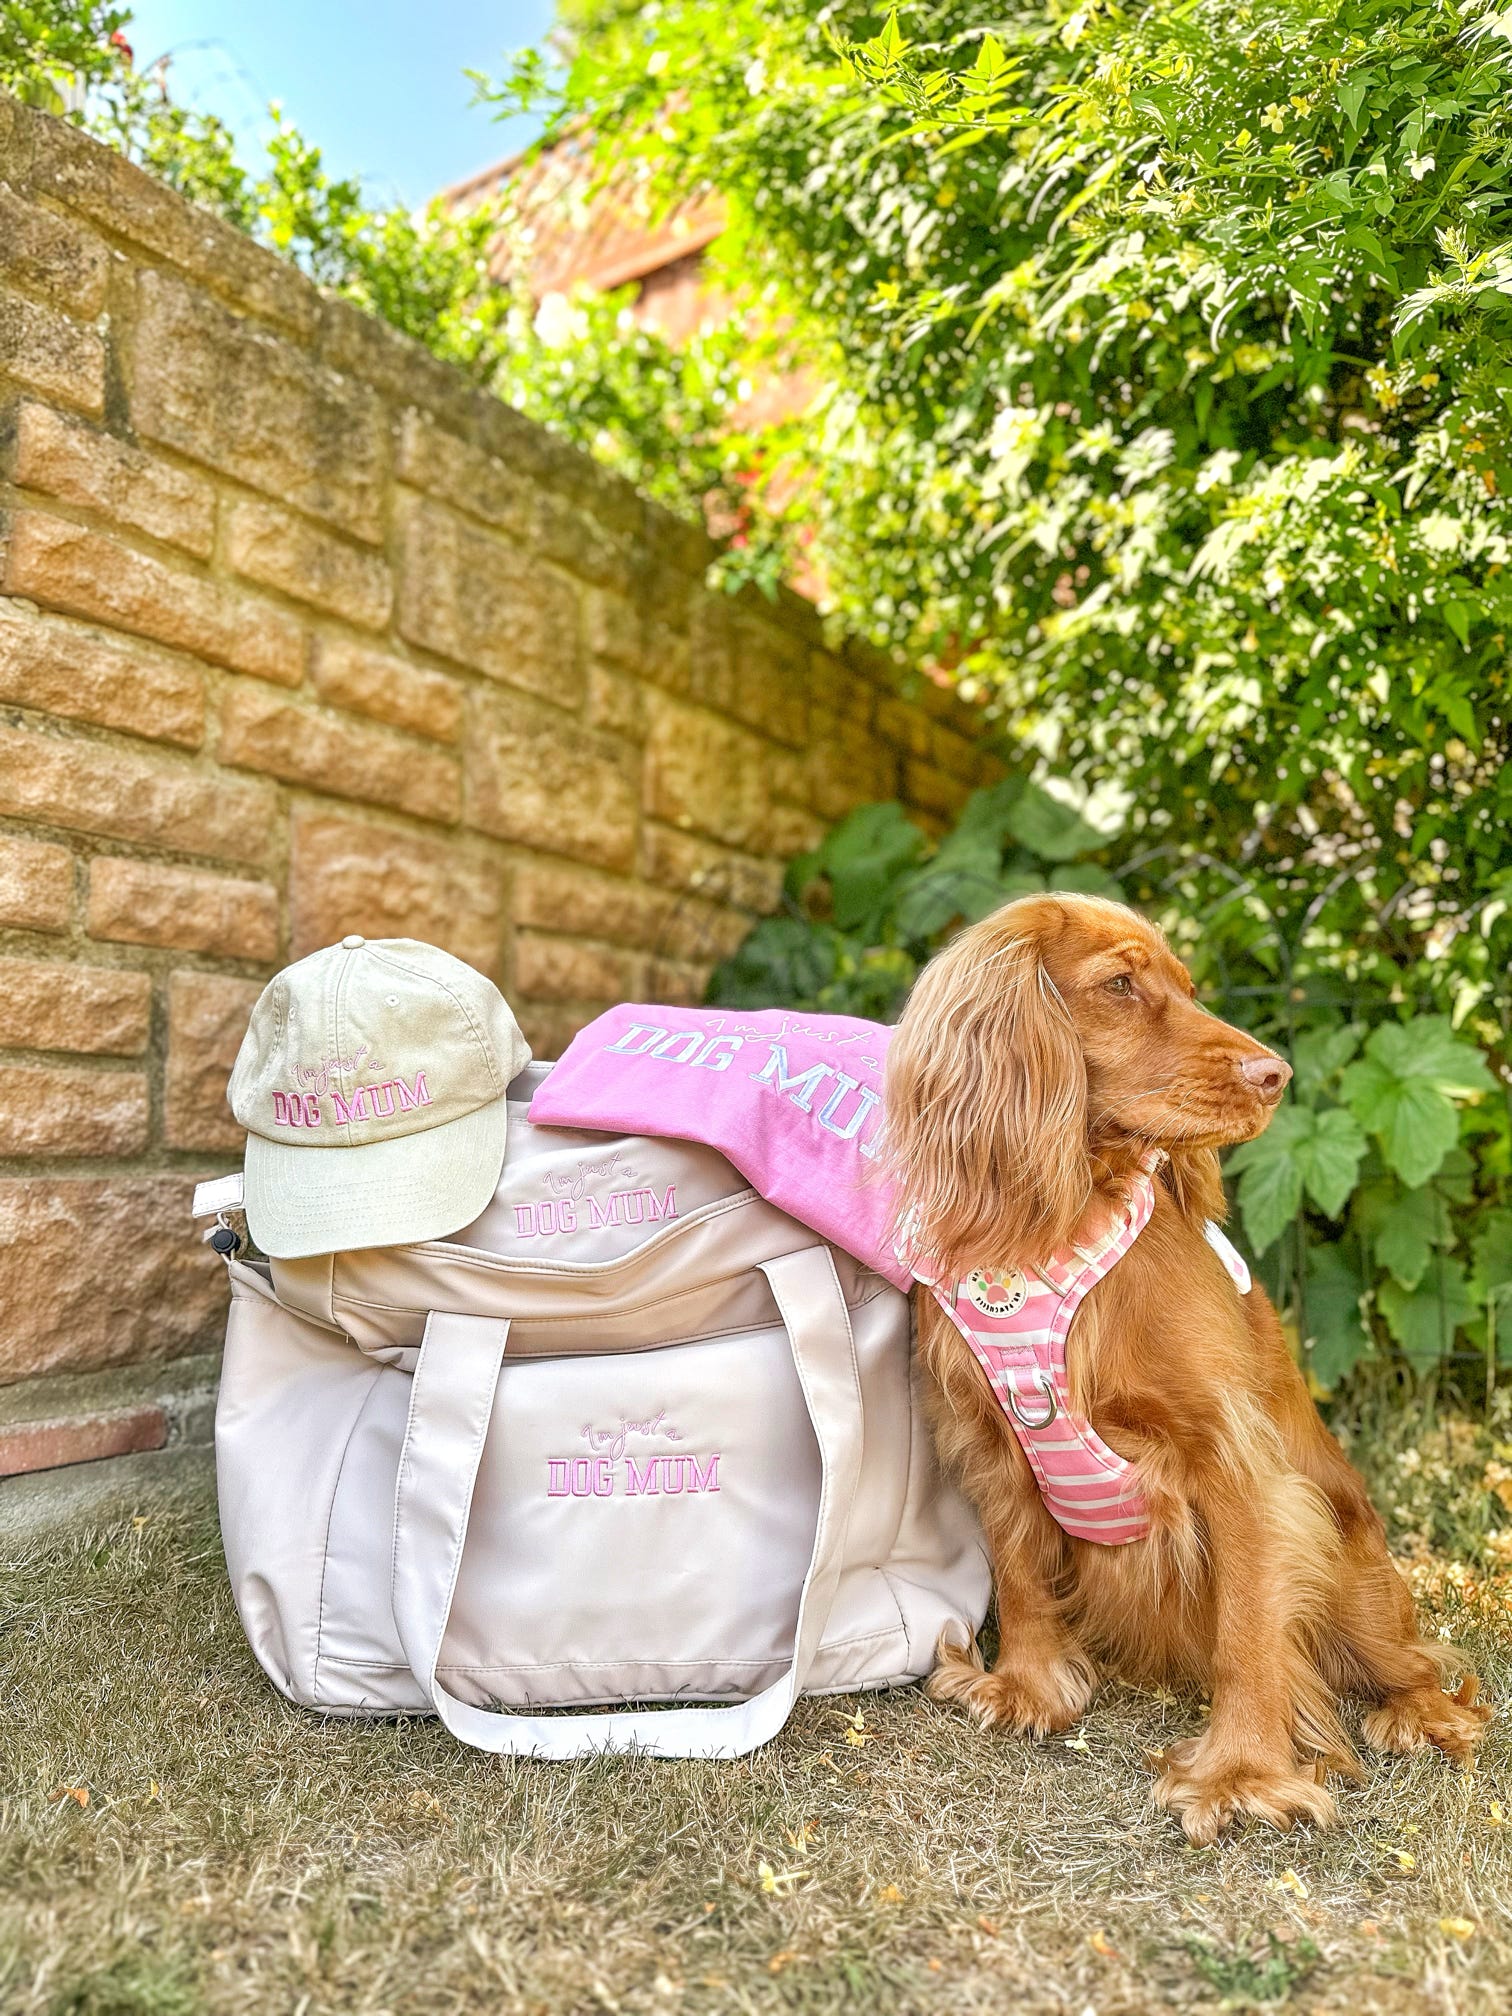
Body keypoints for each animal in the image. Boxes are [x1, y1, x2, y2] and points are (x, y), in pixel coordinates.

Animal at [883, 893, 1491, 1841]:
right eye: (1121, 985)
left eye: (1190, 987)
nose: (1275, 1074)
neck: (1059, 1224)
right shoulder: (987, 1437)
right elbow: (1019, 1572)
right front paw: (1026, 1687)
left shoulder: (1233, 1457)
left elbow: (1248, 1628)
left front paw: (1240, 1773)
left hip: (1354, 1568)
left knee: (1413, 1657)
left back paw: (1421, 1714)